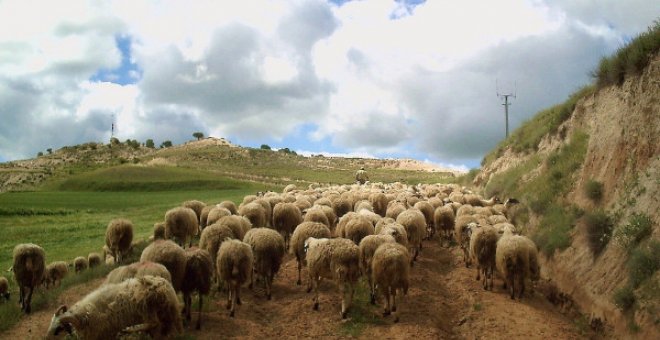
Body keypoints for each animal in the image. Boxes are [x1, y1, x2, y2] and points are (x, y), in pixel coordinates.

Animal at [45, 276, 182, 340]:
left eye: (58, 329)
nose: (46, 338)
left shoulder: (104, 333)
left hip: (147, 304)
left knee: (153, 322)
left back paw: (131, 328)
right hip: (165, 312)